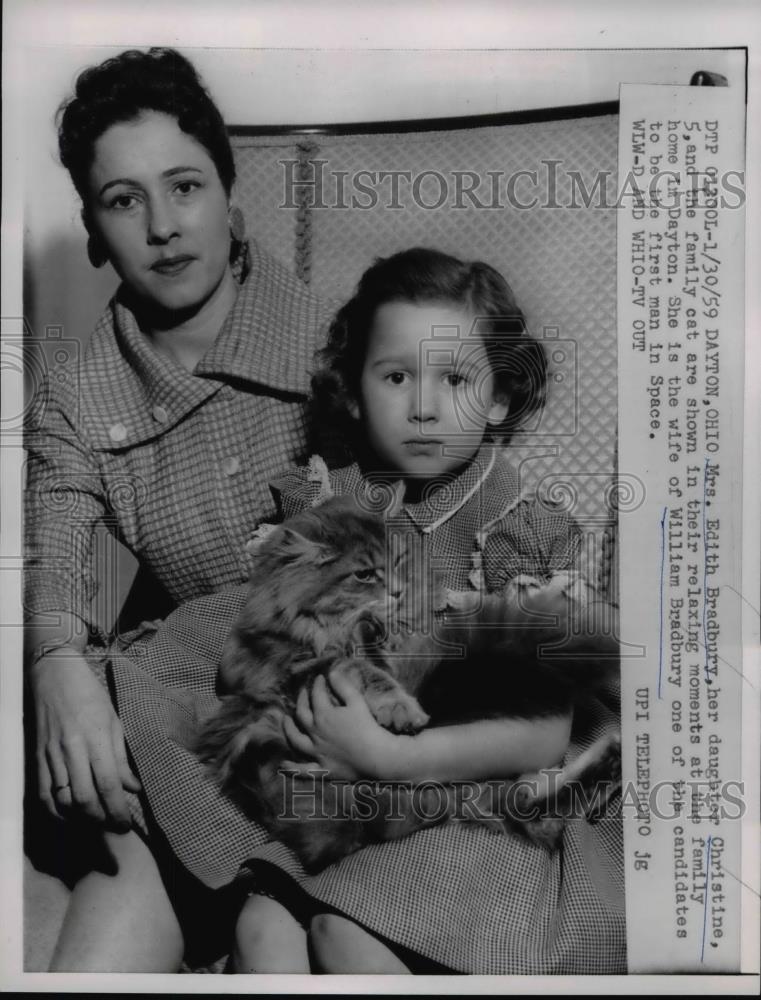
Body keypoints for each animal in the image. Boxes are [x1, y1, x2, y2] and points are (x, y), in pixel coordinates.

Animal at [199, 496, 620, 872]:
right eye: (364, 574)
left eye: (398, 560)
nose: (398, 591)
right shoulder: (309, 666)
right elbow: (365, 671)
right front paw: (401, 707)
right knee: (528, 799)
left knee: (530, 799)